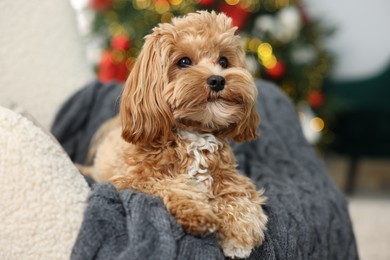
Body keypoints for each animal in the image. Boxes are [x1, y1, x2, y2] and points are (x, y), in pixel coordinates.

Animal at [83, 10, 266, 258]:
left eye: (224, 61)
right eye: (184, 62)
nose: (218, 80)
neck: (193, 133)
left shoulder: (230, 177)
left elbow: (239, 195)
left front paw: (239, 231)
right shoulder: (132, 179)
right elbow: (170, 185)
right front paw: (198, 212)